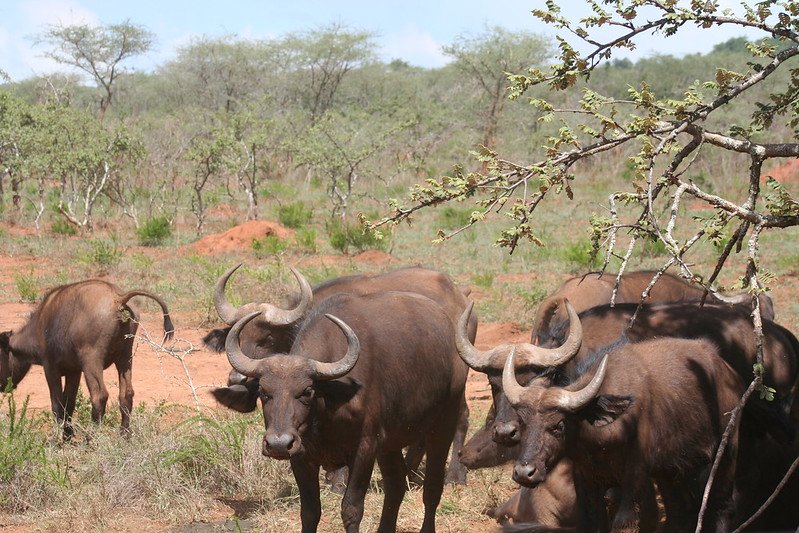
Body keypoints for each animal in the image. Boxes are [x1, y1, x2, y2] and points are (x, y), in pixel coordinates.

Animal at [0, 278, 174, 436]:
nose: (2, 386)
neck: (40, 325)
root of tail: (118, 298)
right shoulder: (74, 372)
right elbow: (69, 403)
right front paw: (68, 435)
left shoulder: (50, 368)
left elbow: (57, 404)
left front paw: (59, 440)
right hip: (125, 357)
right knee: (126, 394)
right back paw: (124, 435)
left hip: (92, 360)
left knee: (99, 395)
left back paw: (91, 437)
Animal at [209, 264, 478, 484]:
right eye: (237, 336)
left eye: (266, 339)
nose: (236, 379)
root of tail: (460, 297)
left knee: (462, 416)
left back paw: (454, 476)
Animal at [222, 290, 466, 532]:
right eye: (263, 391)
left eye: (307, 391)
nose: (278, 444)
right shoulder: (301, 456)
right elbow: (309, 511)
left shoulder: (364, 450)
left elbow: (351, 509)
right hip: (390, 443)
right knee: (396, 486)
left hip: (443, 426)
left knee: (432, 487)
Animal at [506, 338, 744, 528]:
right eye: (523, 423)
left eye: (559, 425)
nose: (524, 472)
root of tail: (730, 374)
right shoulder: (587, 482)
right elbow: (594, 522)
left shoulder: (635, 480)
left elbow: (626, 522)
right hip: (671, 471)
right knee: (680, 509)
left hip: (725, 454)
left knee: (724, 506)